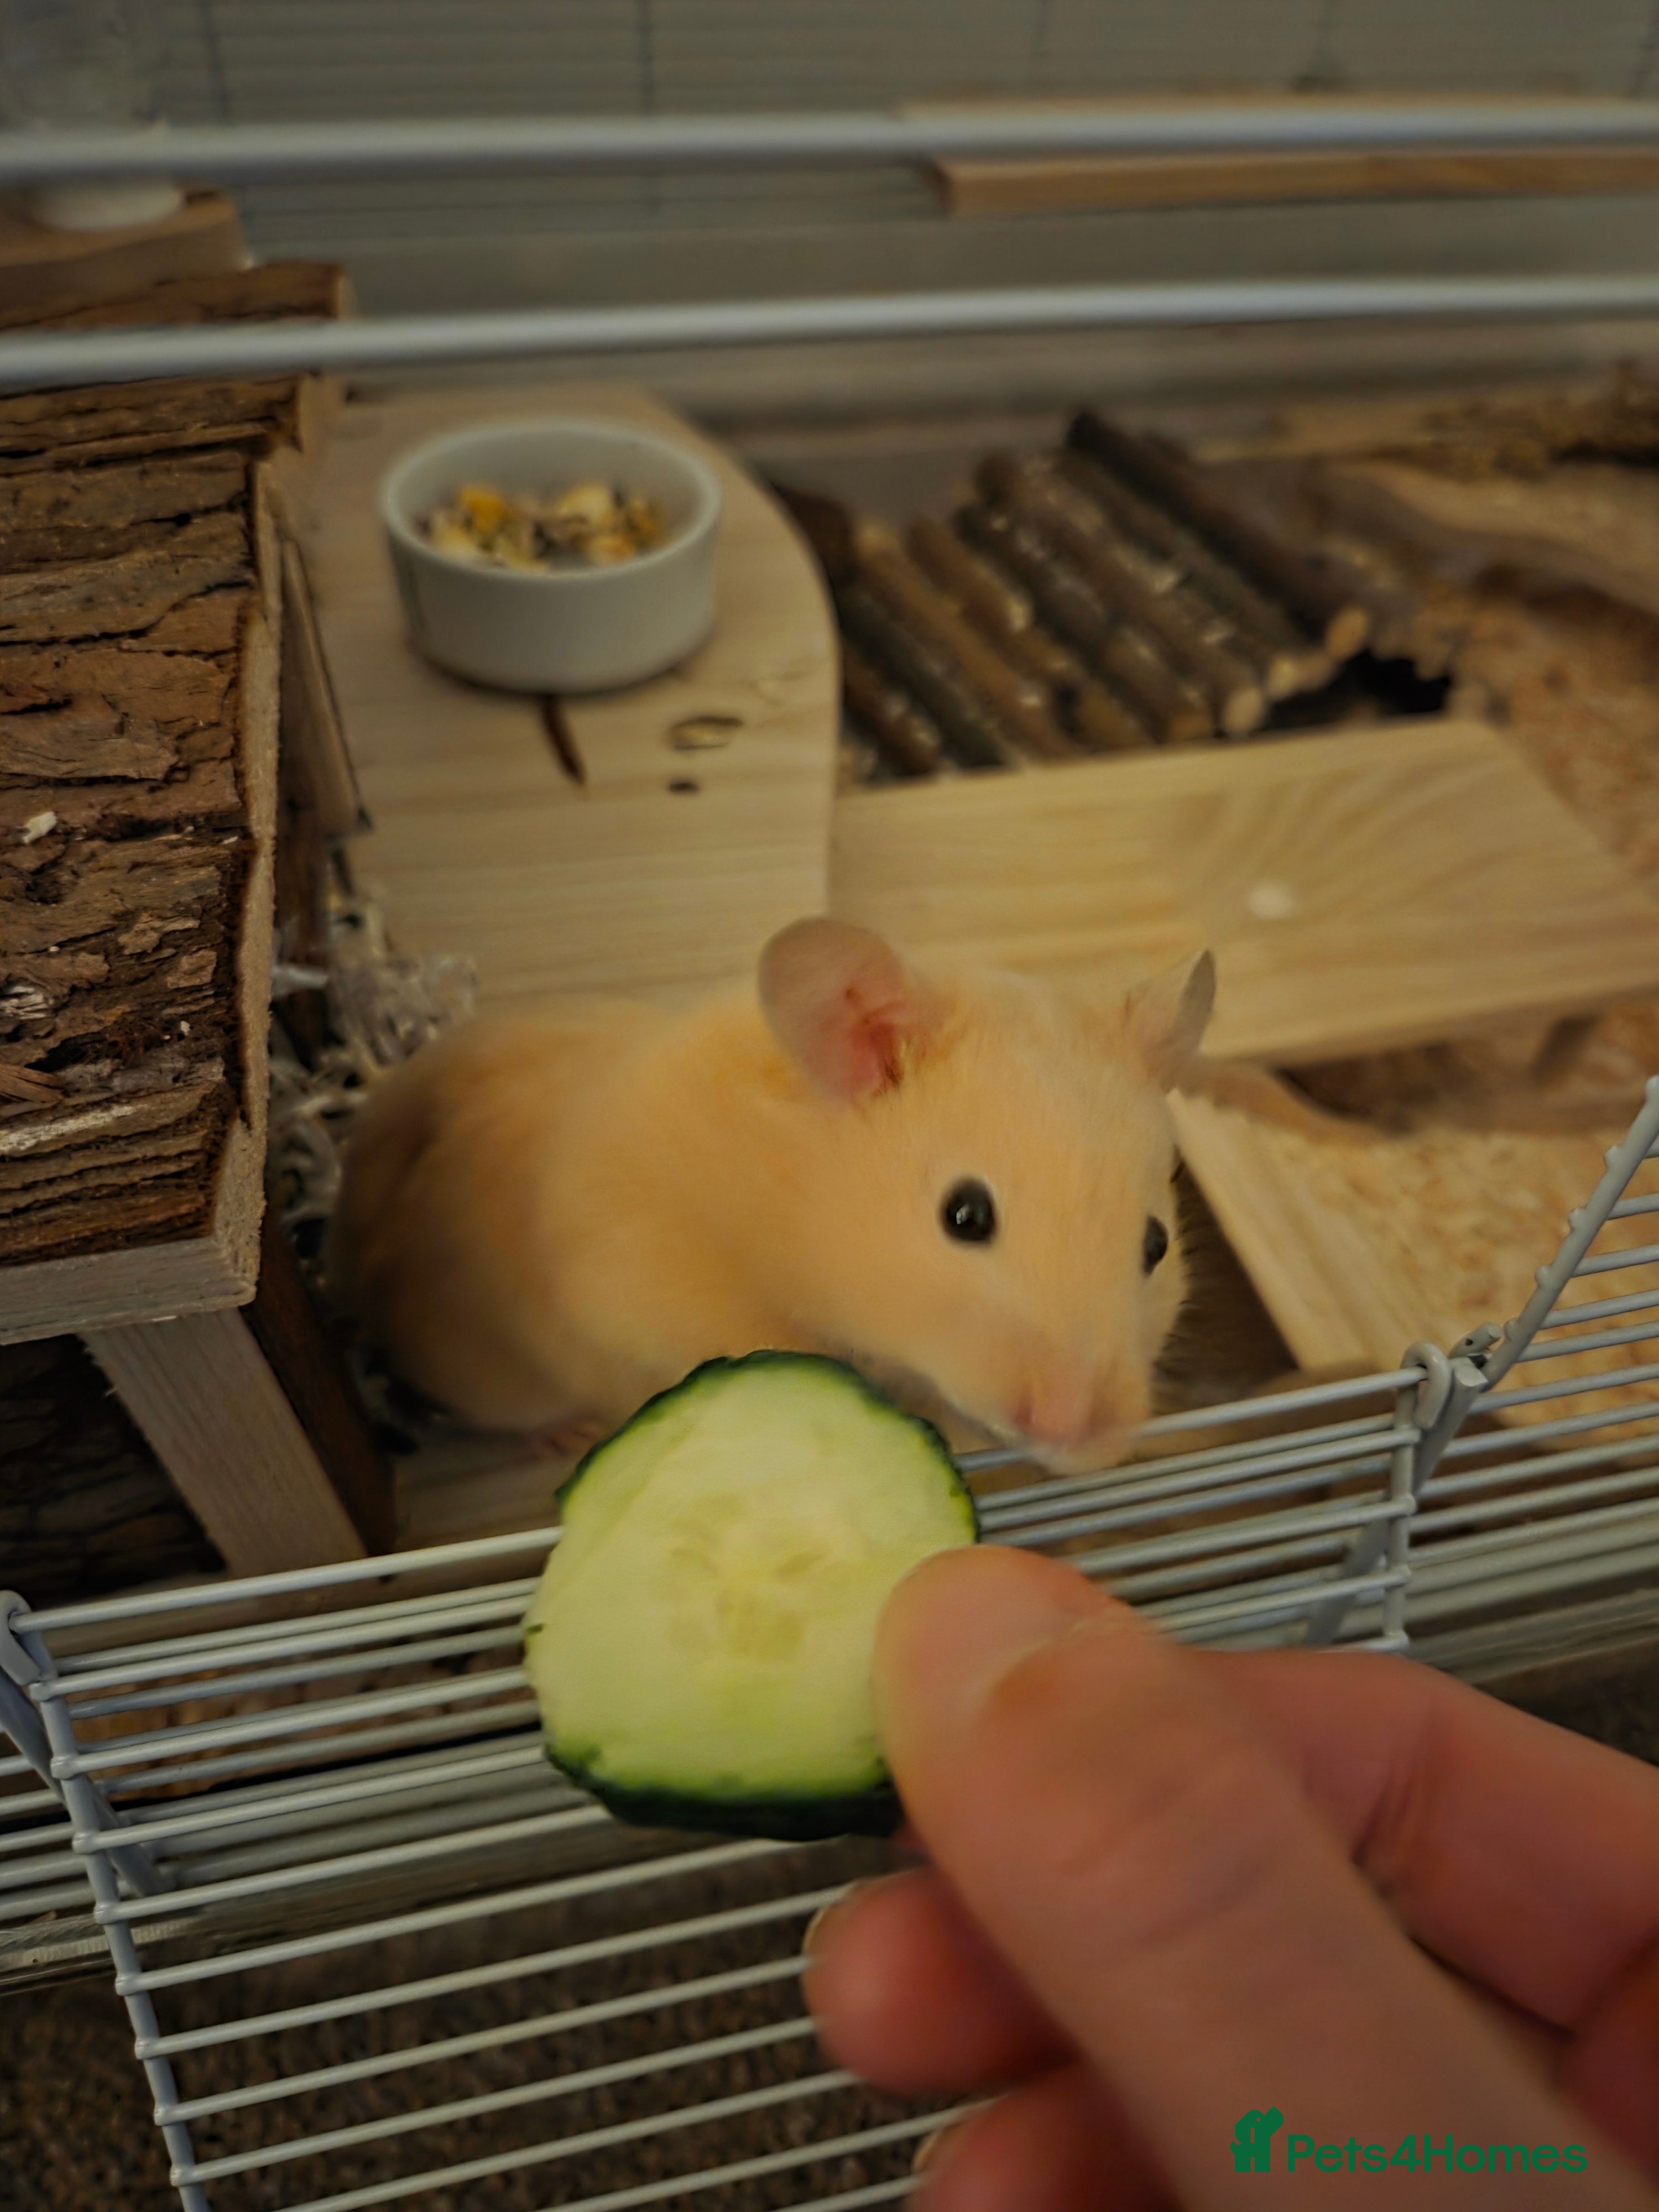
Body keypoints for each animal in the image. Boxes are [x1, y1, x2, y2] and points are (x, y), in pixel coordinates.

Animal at [327, 917, 1216, 1473]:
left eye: (1156, 1243)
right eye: (965, 1215)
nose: (1082, 1434)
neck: (786, 1188)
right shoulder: (642, 1273)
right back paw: (563, 1435)